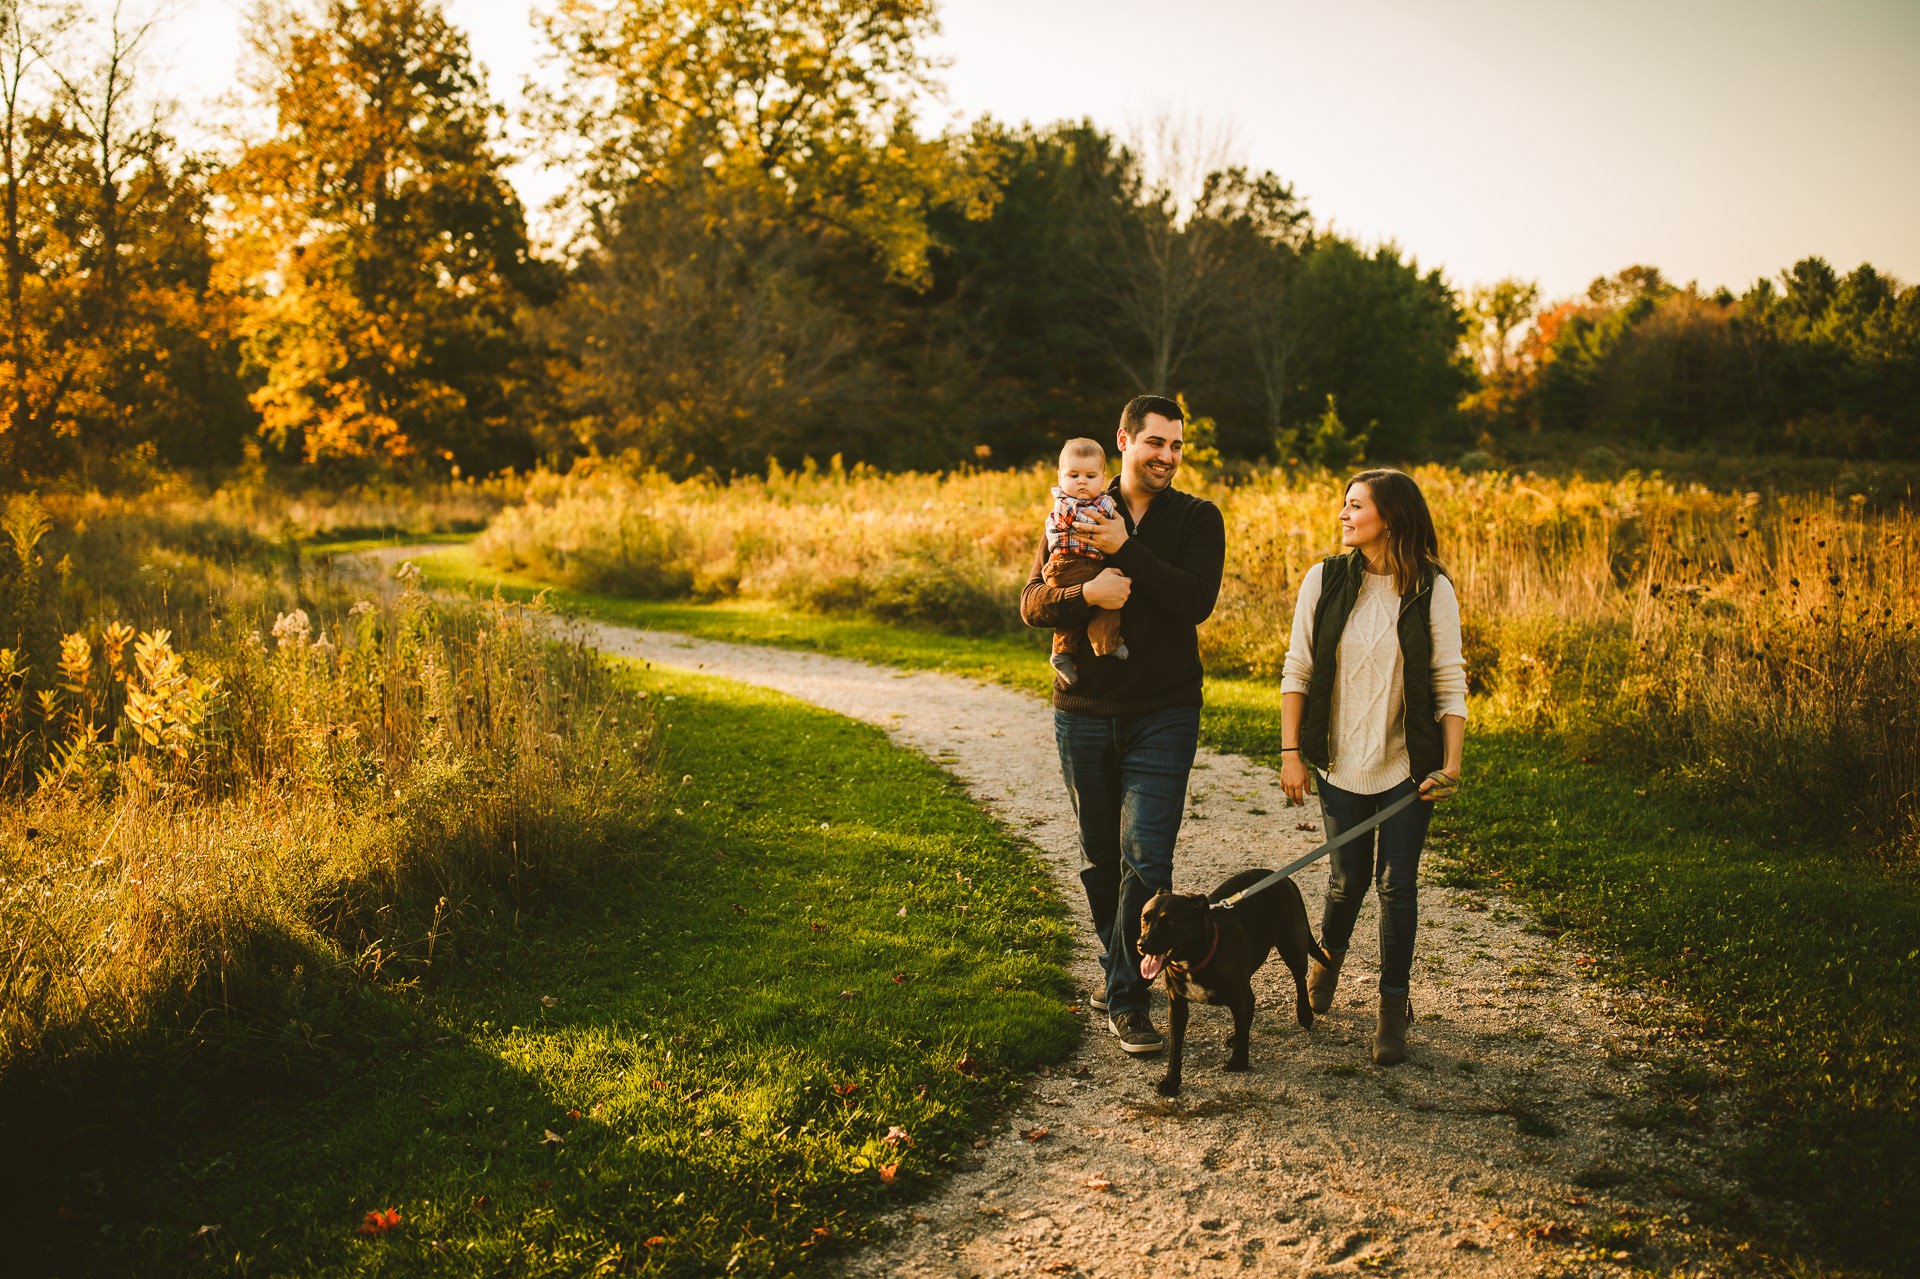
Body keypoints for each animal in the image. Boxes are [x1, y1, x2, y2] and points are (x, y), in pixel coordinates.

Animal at [1128, 868, 1328, 1098]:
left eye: (1169, 922)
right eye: (1144, 918)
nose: (1141, 945)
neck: (1195, 957)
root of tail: (1280, 876)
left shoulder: (1236, 997)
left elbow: (1241, 1025)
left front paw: (1239, 1061)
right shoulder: (1177, 1005)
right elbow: (1175, 1049)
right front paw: (1171, 1081)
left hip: (1291, 944)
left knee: (1299, 979)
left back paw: (1304, 1014)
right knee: (1252, 1000)